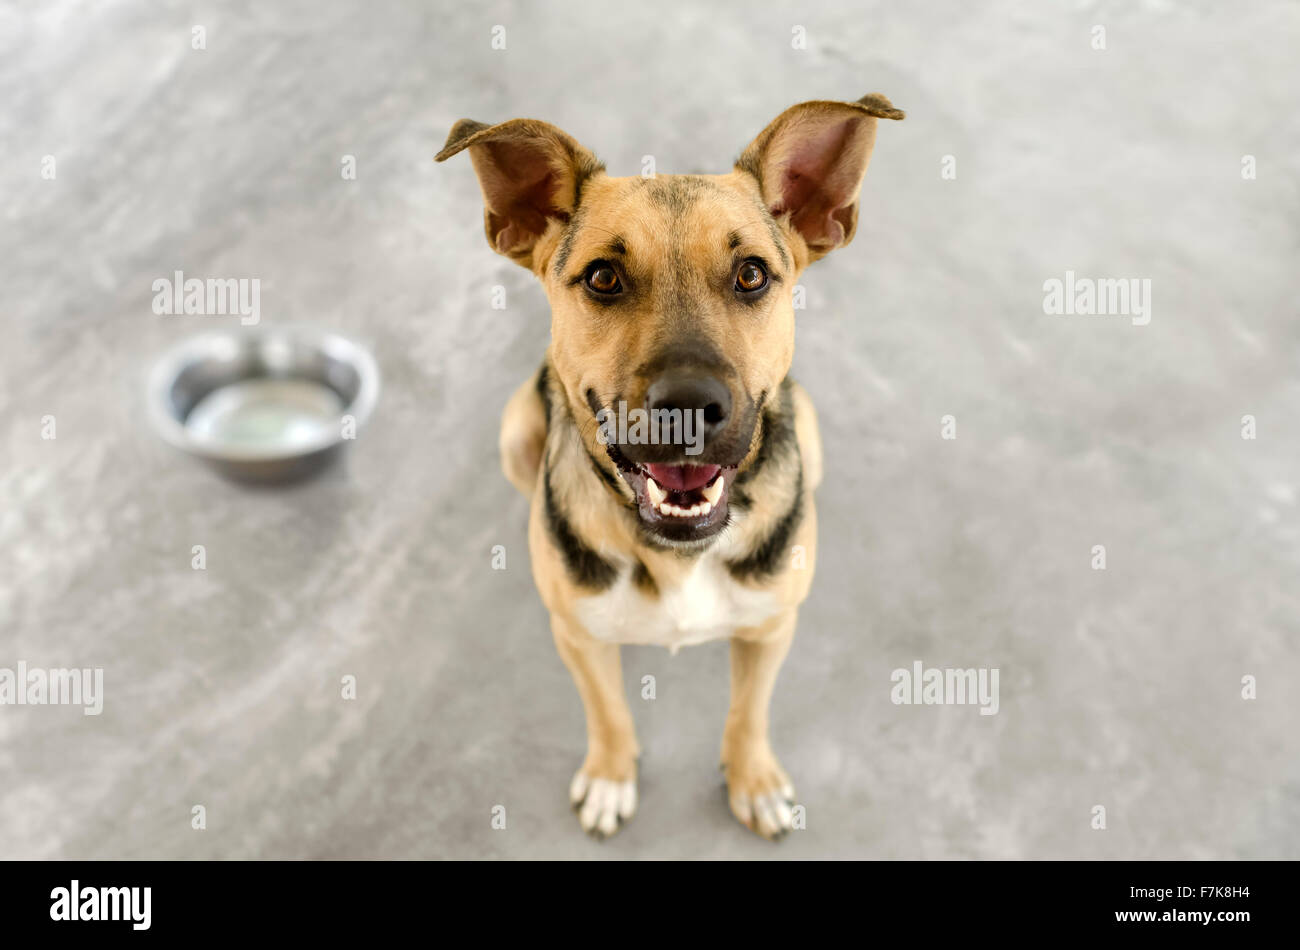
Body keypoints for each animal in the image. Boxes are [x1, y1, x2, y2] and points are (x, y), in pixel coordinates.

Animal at [436, 94, 904, 842]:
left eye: (752, 275)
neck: (678, 554)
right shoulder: (581, 639)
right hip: (515, 433)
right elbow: (607, 710)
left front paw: (753, 779)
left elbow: (750, 710)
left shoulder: (772, 627)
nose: (689, 408)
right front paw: (610, 774)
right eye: (603, 277)